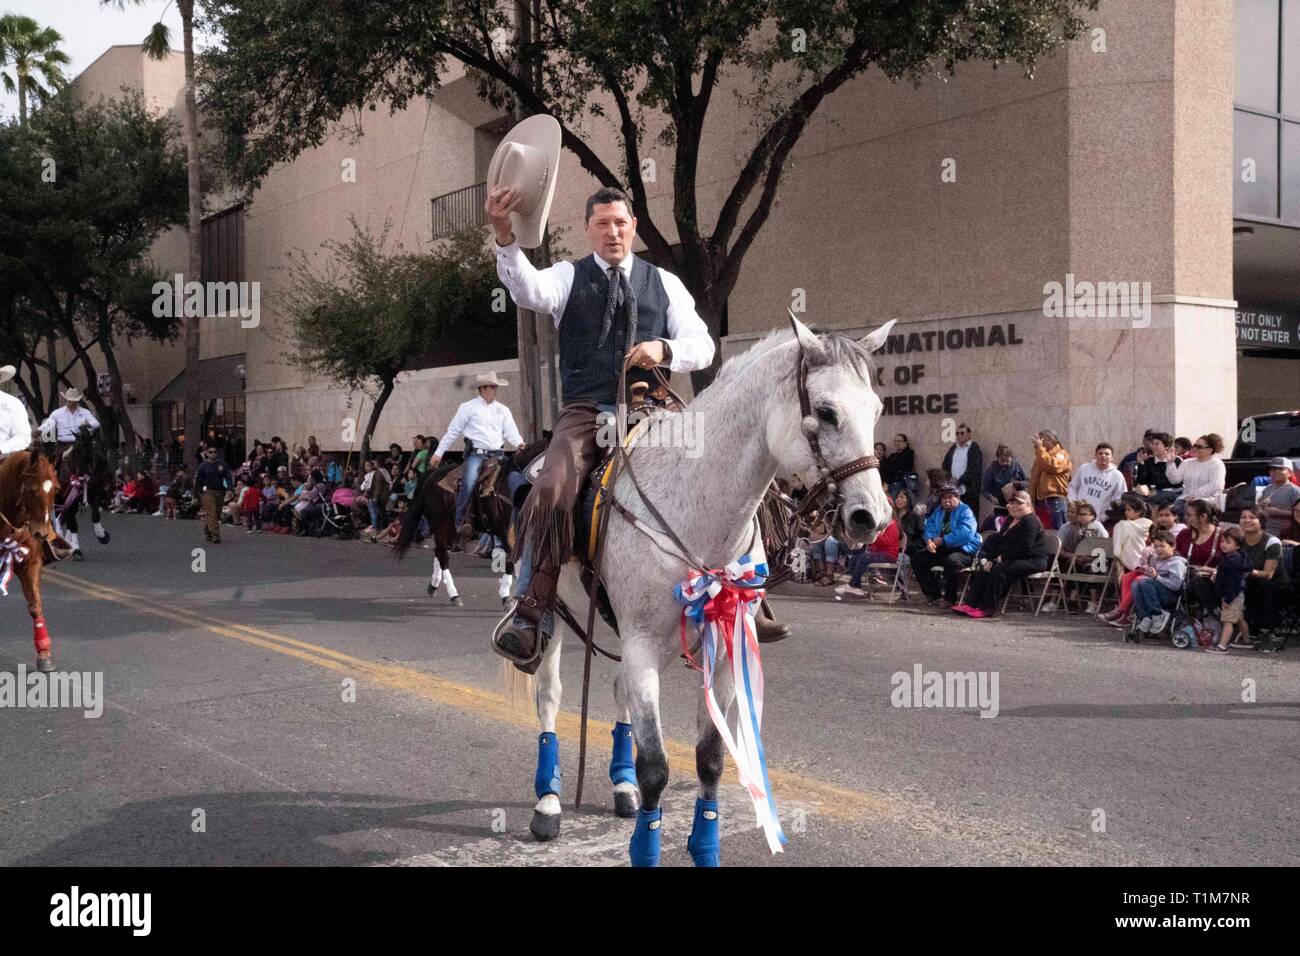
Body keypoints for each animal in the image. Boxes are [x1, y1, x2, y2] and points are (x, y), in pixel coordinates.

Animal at [0, 447, 64, 671]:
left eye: (55, 489)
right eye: (30, 490)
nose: (41, 533)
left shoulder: (31, 562)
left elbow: (35, 605)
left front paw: (44, 653)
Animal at [506, 317, 894, 868]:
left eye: (876, 409)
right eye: (825, 411)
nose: (871, 517)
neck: (693, 505)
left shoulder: (722, 645)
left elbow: (710, 758)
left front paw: (704, 845)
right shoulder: (643, 644)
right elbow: (656, 767)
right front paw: (646, 846)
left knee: (619, 693)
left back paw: (621, 790)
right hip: (555, 616)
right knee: (550, 697)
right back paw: (549, 803)